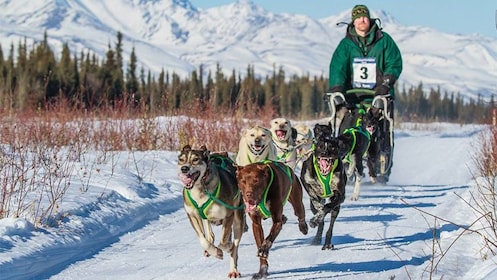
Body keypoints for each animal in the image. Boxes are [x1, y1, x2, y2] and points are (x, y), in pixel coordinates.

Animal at [177, 144, 245, 278]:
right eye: (181, 160)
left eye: (195, 159)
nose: (184, 168)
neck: (200, 189)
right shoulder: (192, 216)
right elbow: (203, 240)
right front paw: (214, 251)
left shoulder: (228, 215)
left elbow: (224, 242)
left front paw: (223, 249)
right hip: (206, 218)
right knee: (210, 235)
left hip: (238, 219)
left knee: (234, 248)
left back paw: (233, 269)